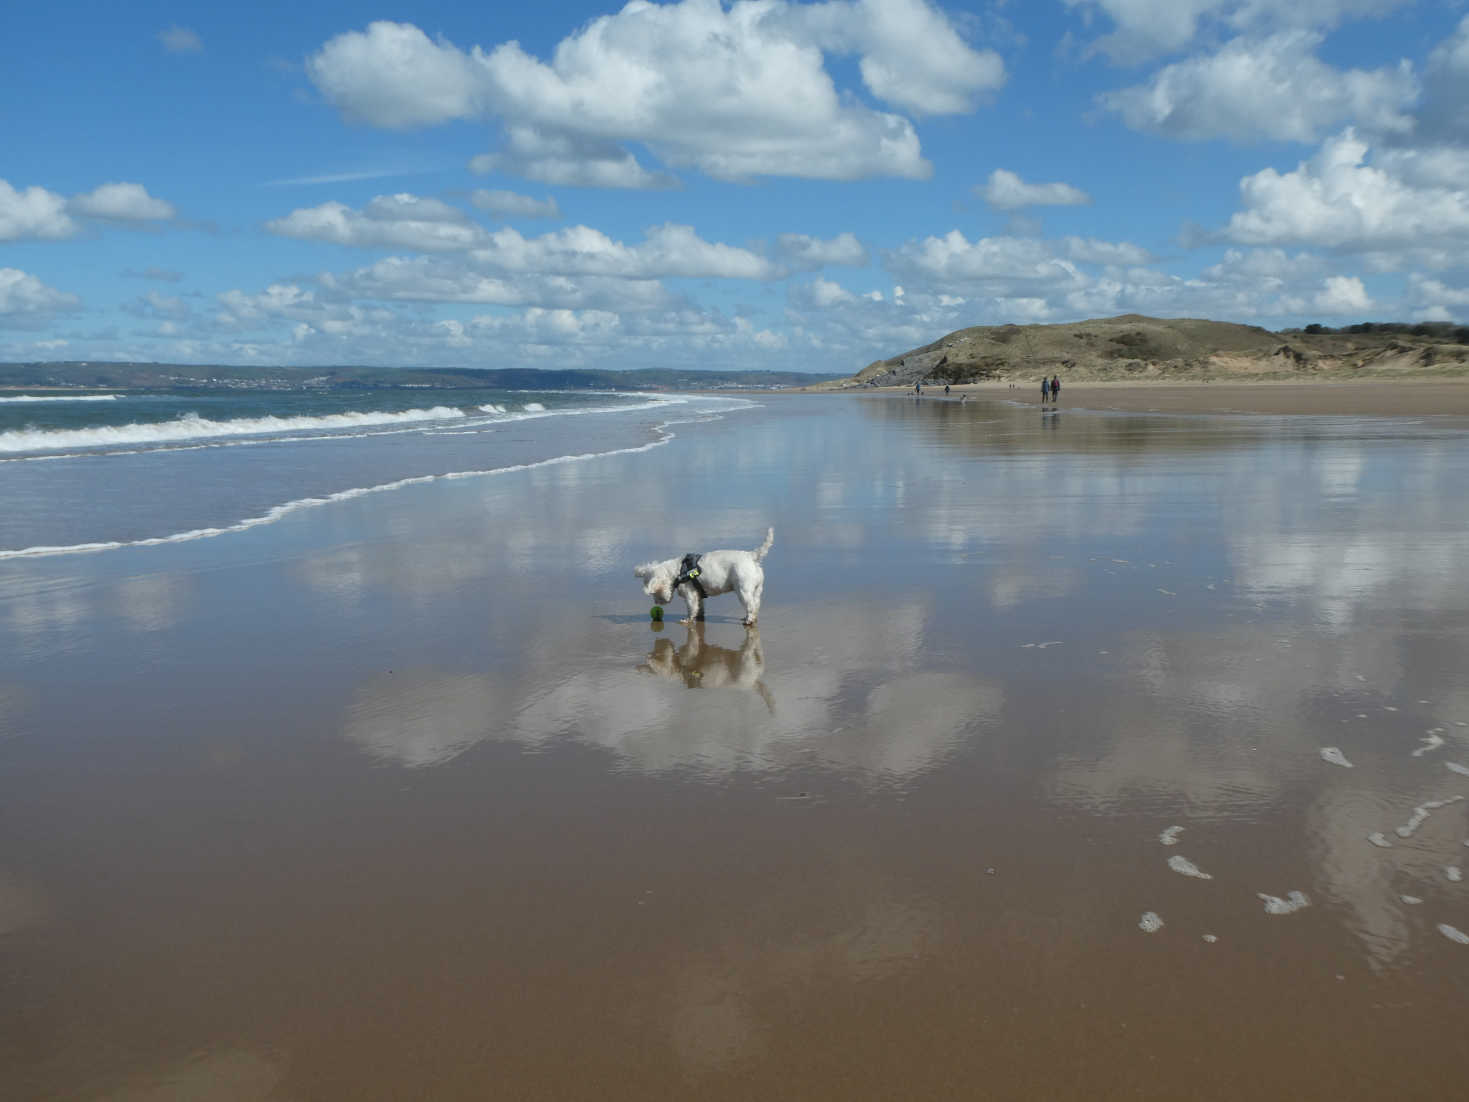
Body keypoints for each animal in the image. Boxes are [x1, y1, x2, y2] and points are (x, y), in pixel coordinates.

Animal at [634, 528, 775, 625]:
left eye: (655, 593)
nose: (657, 603)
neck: (678, 572)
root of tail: (751, 556)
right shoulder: (698, 595)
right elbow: (699, 607)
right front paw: (699, 617)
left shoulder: (690, 595)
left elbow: (691, 608)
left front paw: (688, 620)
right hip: (756, 589)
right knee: (756, 604)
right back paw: (749, 618)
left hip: (743, 591)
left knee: (750, 605)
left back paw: (748, 620)